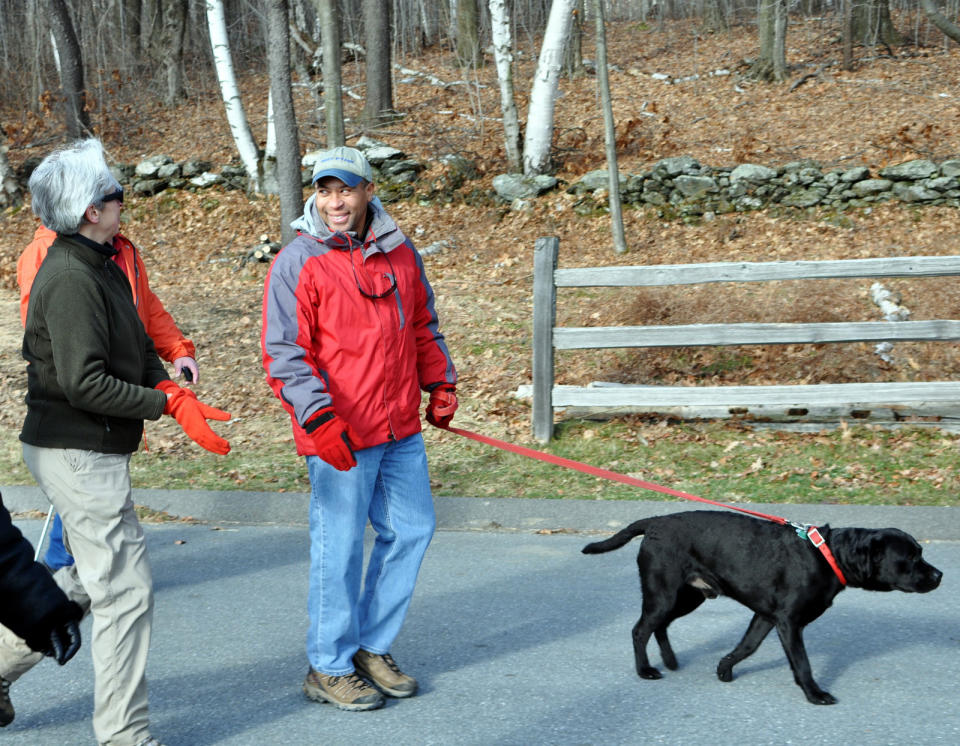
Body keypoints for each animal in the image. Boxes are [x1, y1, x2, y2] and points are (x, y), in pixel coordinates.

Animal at [580, 508, 940, 700]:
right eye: (912, 557)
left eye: (919, 552)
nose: (940, 575)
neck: (829, 557)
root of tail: (653, 522)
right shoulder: (789, 621)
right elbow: (803, 663)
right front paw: (815, 694)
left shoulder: (766, 617)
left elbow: (746, 647)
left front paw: (724, 668)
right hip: (664, 593)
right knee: (640, 630)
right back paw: (646, 671)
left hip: (687, 596)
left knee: (661, 626)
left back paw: (669, 661)